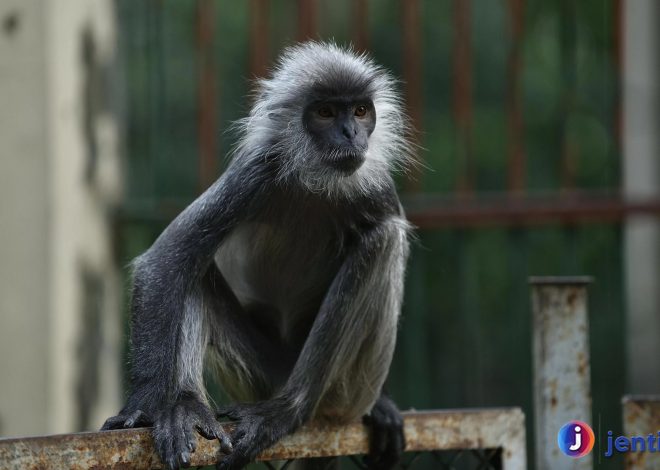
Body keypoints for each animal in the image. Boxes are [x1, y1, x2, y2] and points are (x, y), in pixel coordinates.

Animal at [102, 41, 412, 470]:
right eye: (326, 113)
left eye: (361, 111)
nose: (351, 133)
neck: (316, 184)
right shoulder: (256, 174)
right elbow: (166, 260)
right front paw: (145, 405)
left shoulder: (376, 186)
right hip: (262, 375)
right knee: (194, 269)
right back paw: (186, 407)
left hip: (347, 393)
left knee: (383, 239)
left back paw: (288, 409)